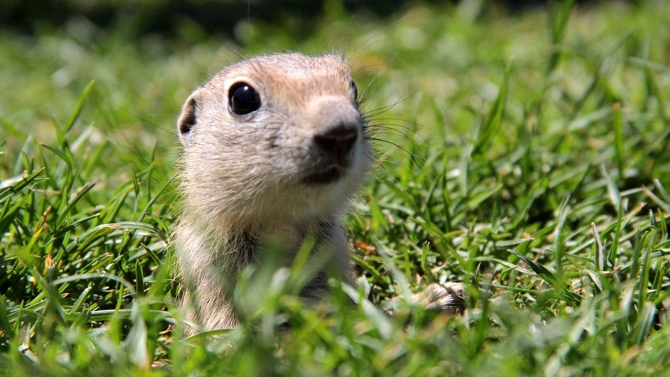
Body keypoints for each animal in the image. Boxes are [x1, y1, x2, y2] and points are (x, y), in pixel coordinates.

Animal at [176, 51, 464, 334]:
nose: (340, 132)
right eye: (242, 97)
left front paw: (437, 297)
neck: (283, 226)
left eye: (353, 87)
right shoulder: (209, 272)